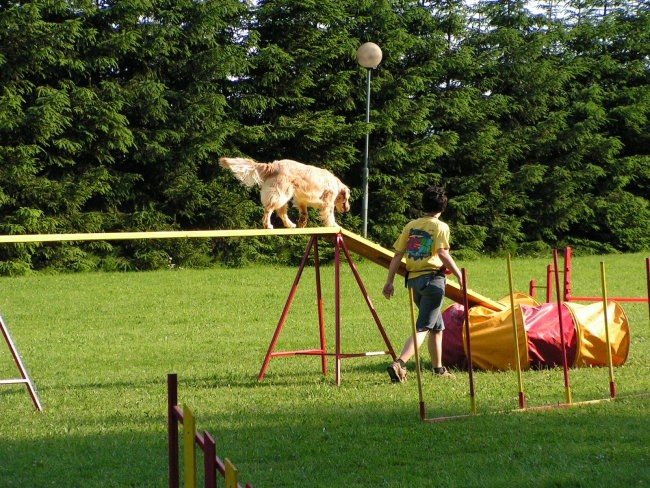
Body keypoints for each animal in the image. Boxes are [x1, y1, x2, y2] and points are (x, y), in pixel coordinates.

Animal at [218, 158, 350, 231]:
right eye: (347, 199)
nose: (348, 209)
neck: (335, 184)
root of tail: (272, 165)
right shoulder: (328, 202)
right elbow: (330, 215)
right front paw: (335, 225)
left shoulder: (301, 199)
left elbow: (304, 212)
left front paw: (302, 223)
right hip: (281, 194)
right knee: (269, 209)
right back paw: (268, 225)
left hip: (283, 195)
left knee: (281, 212)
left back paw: (290, 225)